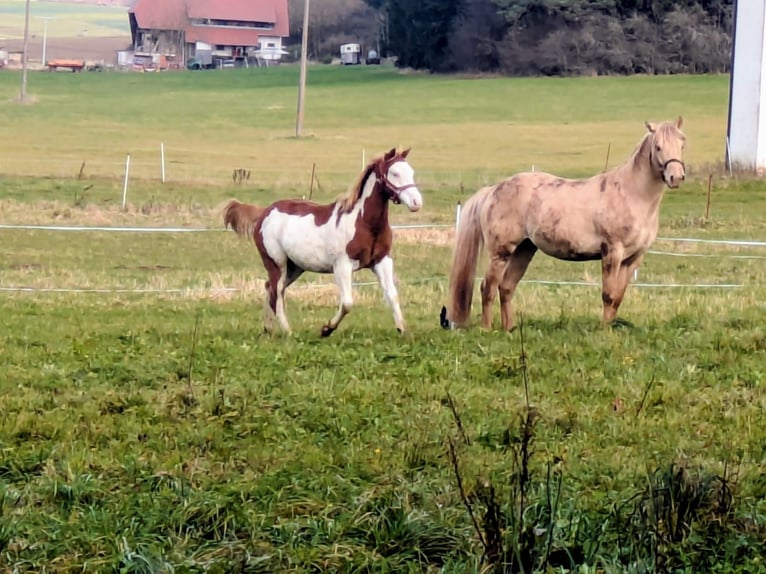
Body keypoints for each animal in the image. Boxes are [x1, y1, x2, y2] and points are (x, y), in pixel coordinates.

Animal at [253, 148, 422, 336]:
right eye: (395, 173)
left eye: (411, 172)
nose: (416, 202)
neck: (364, 223)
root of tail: (264, 214)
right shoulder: (342, 265)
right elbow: (347, 303)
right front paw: (326, 329)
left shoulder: (382, 261)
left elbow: (392, 295)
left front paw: (403, 329)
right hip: (277, 264)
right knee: (277, 294)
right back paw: (288, 331)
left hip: (295, 267)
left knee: (270, 288)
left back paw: (268, 329)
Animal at [445, 117, 686, 331]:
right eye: (658, 147)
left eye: (682, 143)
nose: (676, 177)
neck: (631, 194)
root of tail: (493, 189)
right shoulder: (612, 252)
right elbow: (608, 296)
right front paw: (603, 333)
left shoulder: (633, 258)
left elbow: (618, 298)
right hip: (501, 253)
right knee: (488, 288)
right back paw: (487, 329)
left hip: (524, 250)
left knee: (506, 288)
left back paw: (509, 329)